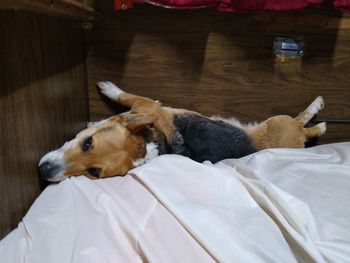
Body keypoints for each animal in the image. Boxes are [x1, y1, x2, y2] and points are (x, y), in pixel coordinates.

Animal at [38, 81, 326, 183]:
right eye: (93, 172)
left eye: (88, 143)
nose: (43, 172)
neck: (150, 141)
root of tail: (298, 141)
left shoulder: (146, 104)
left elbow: (123, 95)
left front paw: (108, 88)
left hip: (279, 121)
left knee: (302, 120)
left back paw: (318, 111)